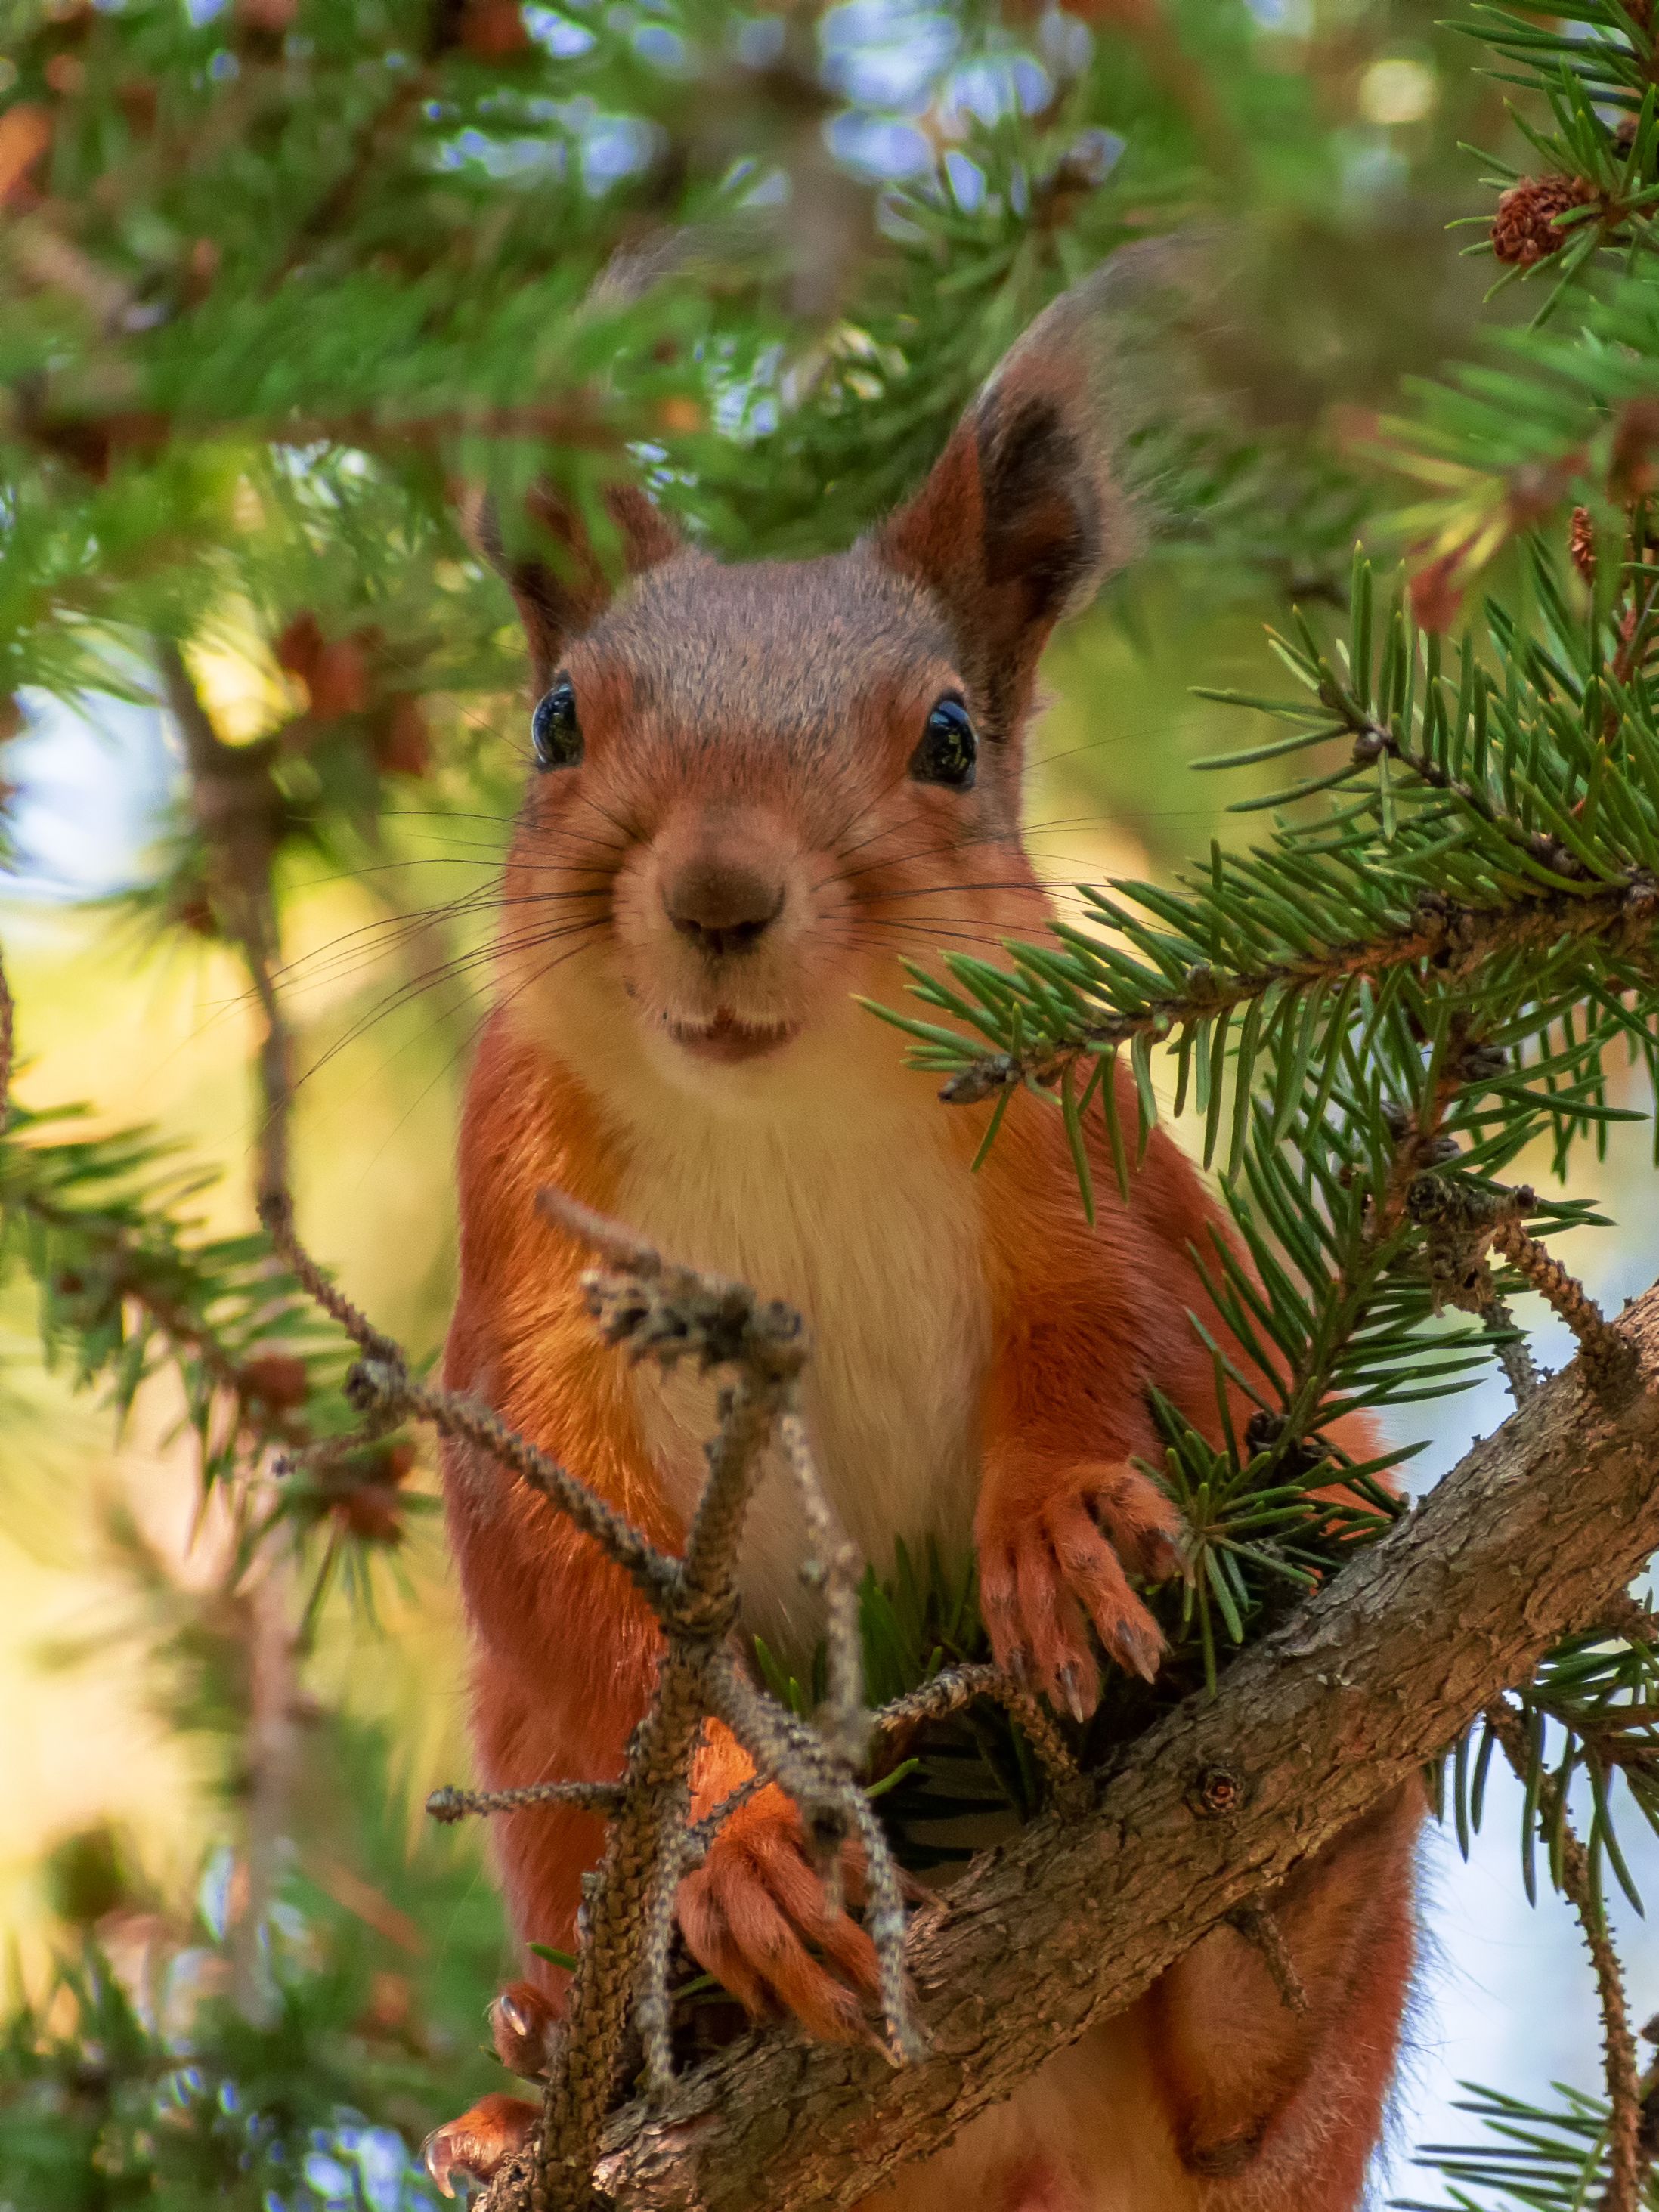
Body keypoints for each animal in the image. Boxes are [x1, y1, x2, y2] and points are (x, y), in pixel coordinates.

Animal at [424, 280, 1416, 2212]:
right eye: (558, 720)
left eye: (948, 740)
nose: (717, 893)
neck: (782, 1110)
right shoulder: (511, 1274)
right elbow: (576, 1583)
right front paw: (733, 1838)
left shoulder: (1085, 1140)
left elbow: (1126, 1324)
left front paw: (1057, 1529)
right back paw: (541, 2059)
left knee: (1248, 2079)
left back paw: (1284, 1876)